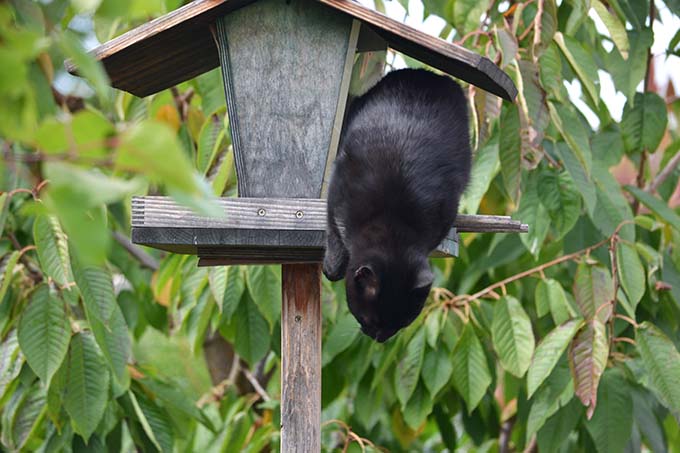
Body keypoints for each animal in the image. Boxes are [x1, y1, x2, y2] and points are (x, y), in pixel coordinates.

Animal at [324, 69, 472, 340]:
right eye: (369, 319)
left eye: (402, 323)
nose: (379, 338)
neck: (391, 223)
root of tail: (429, 74)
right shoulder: (337, 191)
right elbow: (334, 238)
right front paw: (332, 267)